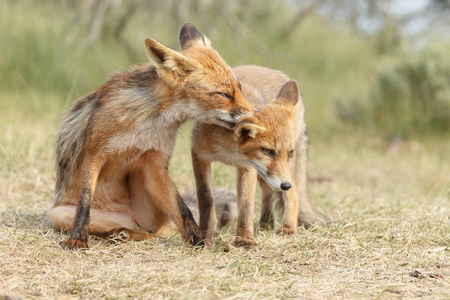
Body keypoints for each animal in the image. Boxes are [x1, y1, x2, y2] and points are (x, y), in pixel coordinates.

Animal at [48, 22, 256, 248]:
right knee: (109, 228)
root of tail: (128, 218)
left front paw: (199, 239)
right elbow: (84, 204)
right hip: (58, 214)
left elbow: (183, 208)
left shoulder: (155, 164)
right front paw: (77, 238)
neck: (148, 124)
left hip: (148, 204)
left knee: (153, 229)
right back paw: (122, 233)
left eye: (240, 89)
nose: (256, 114)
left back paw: (132, 234)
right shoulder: (94, 154)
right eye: (224, 95)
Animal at [192, 64, 328, 247]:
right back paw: (266, 223)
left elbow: (247, 204)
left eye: (290, 153)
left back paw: (288, 228)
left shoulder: (247, 167)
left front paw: (245, 239)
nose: (285, 185)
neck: (229, 152)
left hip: (283, 172)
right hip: (267, 175)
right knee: (268, 193)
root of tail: (270, 70)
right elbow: (205, 197)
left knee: (293, 196)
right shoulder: (199, 155)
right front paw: (206, 234)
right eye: (268, 151)